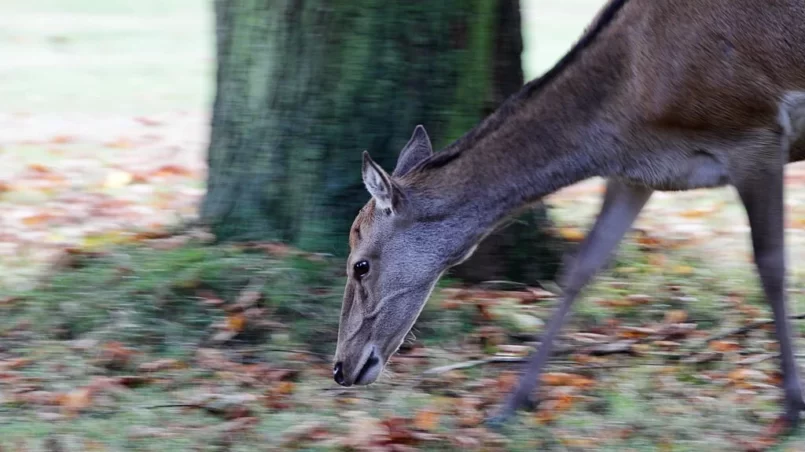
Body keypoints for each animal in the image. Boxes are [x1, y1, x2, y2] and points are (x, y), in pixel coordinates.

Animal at [330, 0, 804, 428]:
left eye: (360, 265)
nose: (340, 368)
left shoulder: (756, 135)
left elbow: (772, 265)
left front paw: (793, 407)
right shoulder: (640, 174)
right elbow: (580, 268)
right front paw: (509, 407)